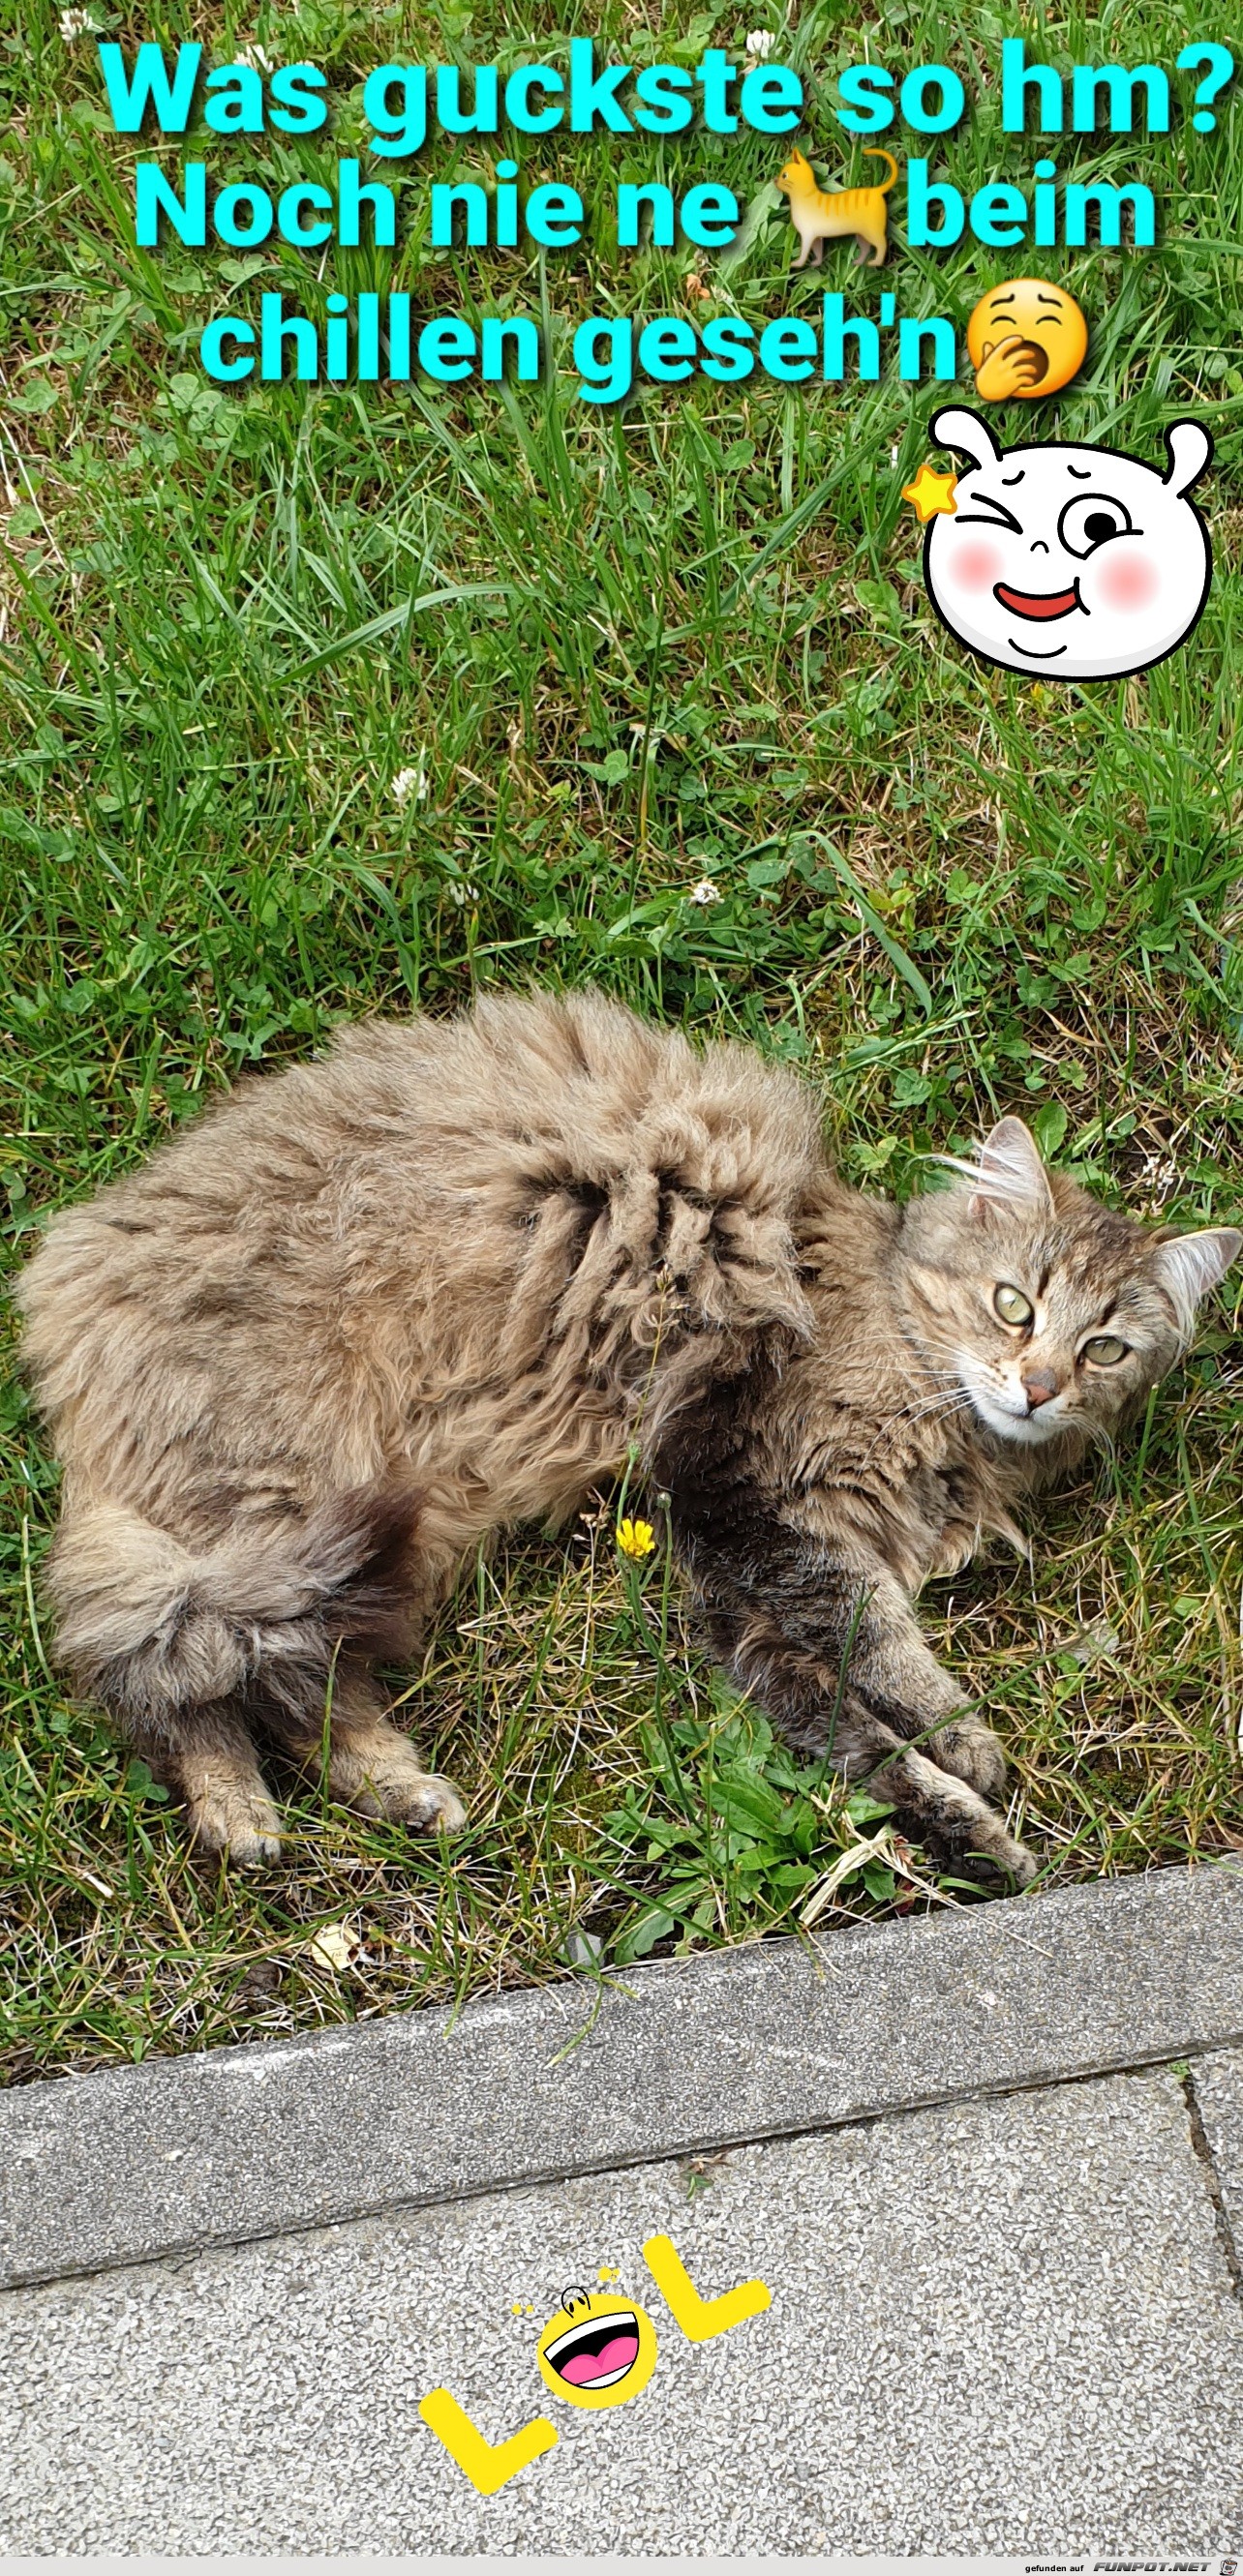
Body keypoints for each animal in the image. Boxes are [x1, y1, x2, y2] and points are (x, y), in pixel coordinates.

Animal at [15, 994, 1237, 1885]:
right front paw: (974, 1765)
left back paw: (388, 1793)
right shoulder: (746, 1502)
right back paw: (244, 1815)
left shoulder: (741, 1600)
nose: (1036, 1386)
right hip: (290, 1508)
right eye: (1013, 1306)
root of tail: (65, 1293)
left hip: (346, 1544)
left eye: (1107, 1350)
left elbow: (855, 1734)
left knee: (277, 1682)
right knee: (169, 1678)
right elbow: (886, 1667)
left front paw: (970, 1826)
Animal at [773, 146, 897, 269]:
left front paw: (798, 263)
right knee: (866, 249)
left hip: (872, 231)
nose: (775, 180)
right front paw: (816, 263)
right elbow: (818, 251)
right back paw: (859, 262)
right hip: (862, 234)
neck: (806, 197)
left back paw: (876, 262)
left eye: (784, 175)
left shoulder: (807, 235)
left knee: (882, 244)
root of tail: (876, 191)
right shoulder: (816, 237)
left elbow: (804, 253)